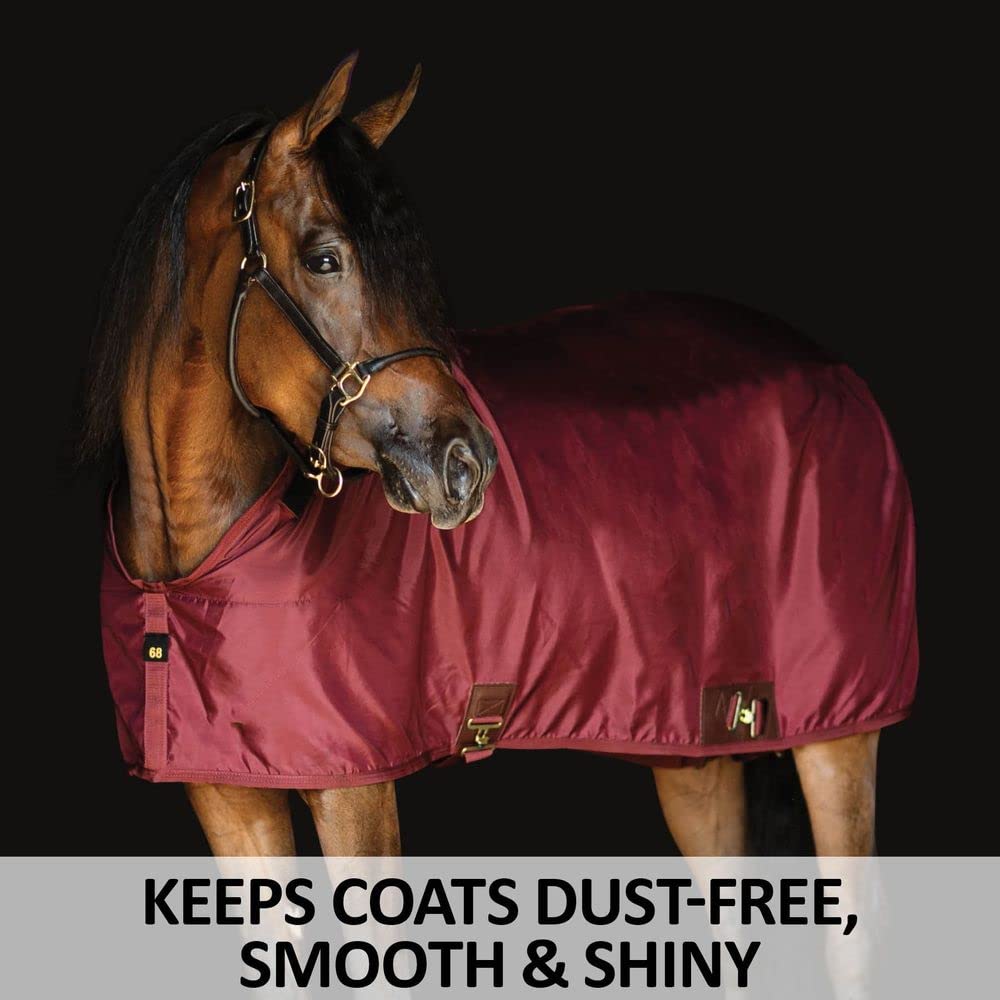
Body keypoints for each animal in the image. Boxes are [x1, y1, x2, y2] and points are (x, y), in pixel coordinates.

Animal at [84, 55, 916, 863]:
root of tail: (833, 371)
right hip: (696, 754)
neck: (196, 559)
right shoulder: (231, 799)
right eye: (323, 259)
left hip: (837, 740)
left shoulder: (355, 791)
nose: (465, 462)